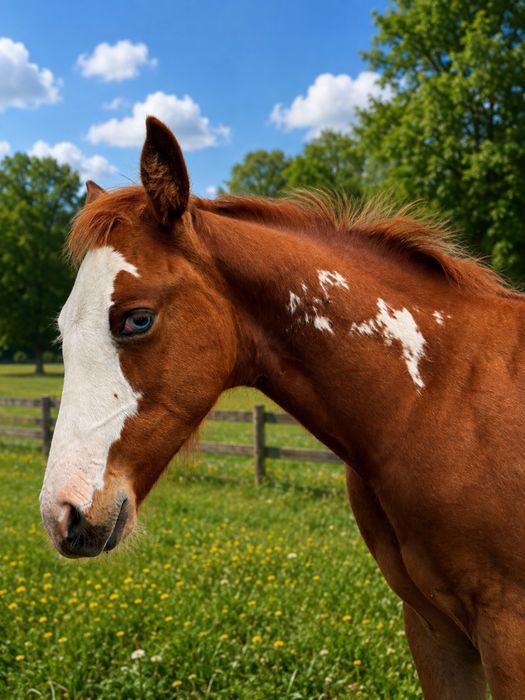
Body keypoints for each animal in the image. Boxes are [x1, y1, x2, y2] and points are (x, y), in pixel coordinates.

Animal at [40, 116, 525, 699]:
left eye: (136, 319)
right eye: (63, 330)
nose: (61, 514)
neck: (442, 398)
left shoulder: (508, 632)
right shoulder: (433, 628)